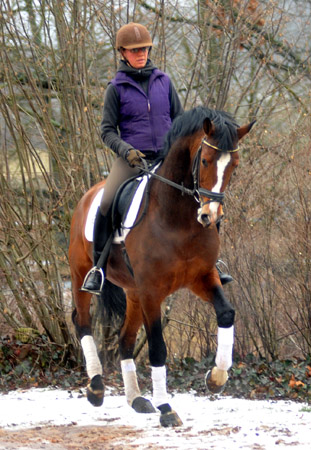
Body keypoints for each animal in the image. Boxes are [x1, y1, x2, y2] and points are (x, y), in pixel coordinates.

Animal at [69, 107, 256, 428]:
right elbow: (157, 346)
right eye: (205, 160)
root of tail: (88, 195)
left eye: (234, 165)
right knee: (82, 322)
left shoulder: (201, 277)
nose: (210, 216)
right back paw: (96, 388)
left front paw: (216, 377)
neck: (177, 219)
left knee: (125, 340)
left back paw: (136, 399)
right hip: (82, 273)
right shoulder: (152, 291)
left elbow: (226, 313)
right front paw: (167, 408)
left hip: (133, 292)